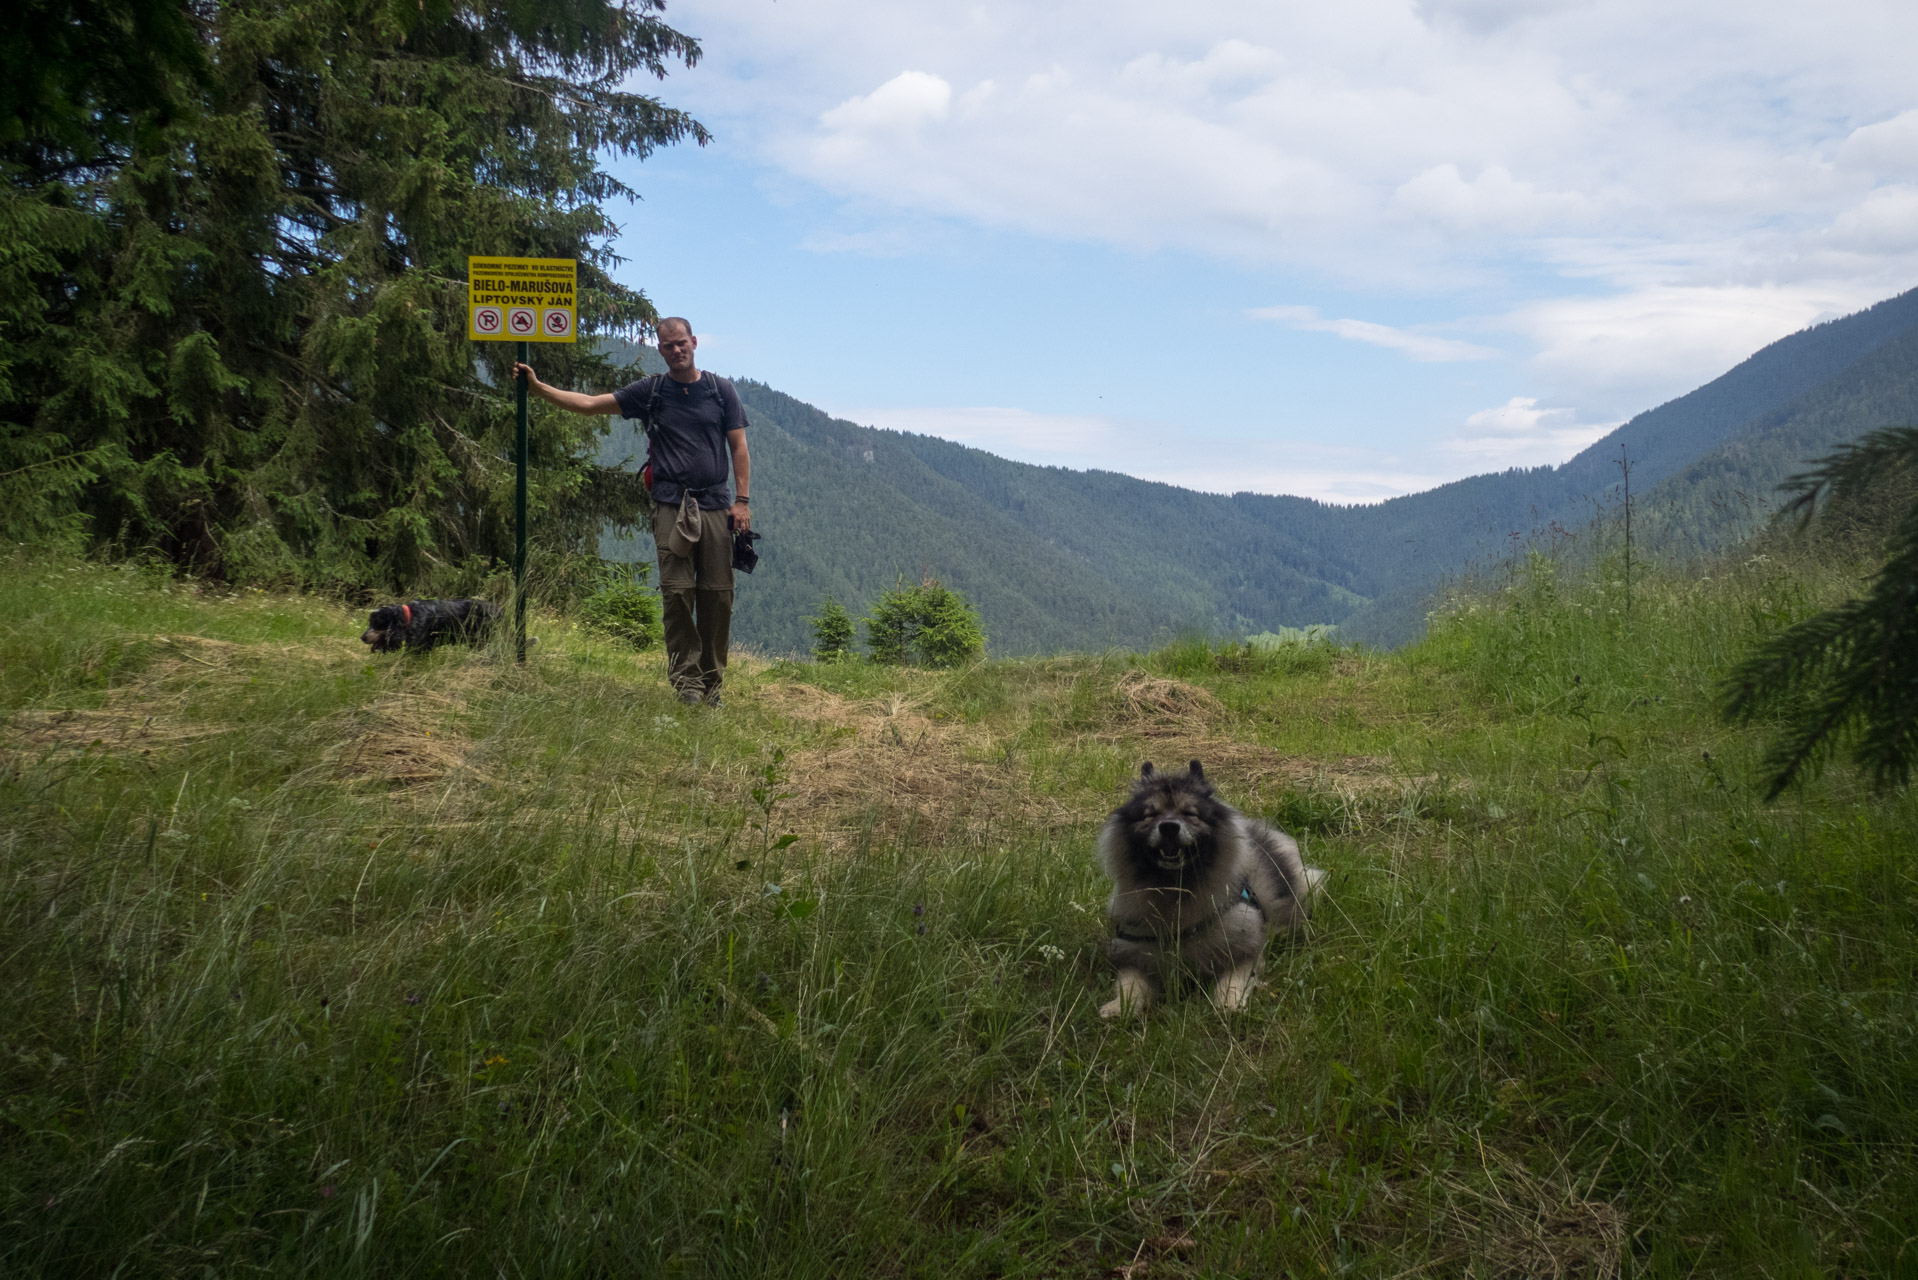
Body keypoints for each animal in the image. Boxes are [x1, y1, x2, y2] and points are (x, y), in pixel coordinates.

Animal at [356, 602, 498, 656]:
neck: (410, 616)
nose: (362, 637)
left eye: (377, 624)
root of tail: (499, 610)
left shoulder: (416, 646)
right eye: (370, 623)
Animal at [1104, 759, 1327, 1020]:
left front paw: (1228, 1006)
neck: (1175, 890)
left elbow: (1231, 982)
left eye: (1190, 813)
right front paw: (1119, 1007)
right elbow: (1130, 985)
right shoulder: (1134, 954)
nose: (1168, 827)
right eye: (1151, 814)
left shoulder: (1245, 953)